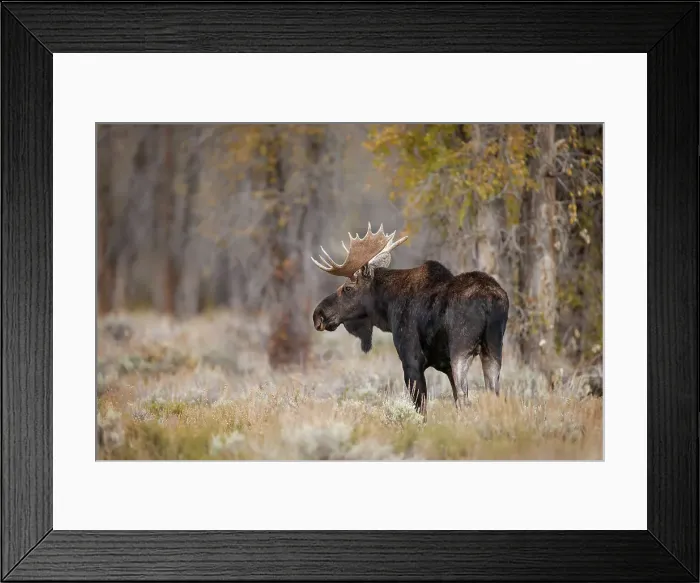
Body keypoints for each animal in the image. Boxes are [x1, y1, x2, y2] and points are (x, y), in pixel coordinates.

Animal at [311, 223, 509, 419]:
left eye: (348, 288)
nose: (318, 314)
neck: (387, 307)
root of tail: (490, 301)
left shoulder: (411, 361)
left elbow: (422, 411)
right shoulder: (445, 366)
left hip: (461, 350)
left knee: (465, 398)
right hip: (493, 349)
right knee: (493, 395)